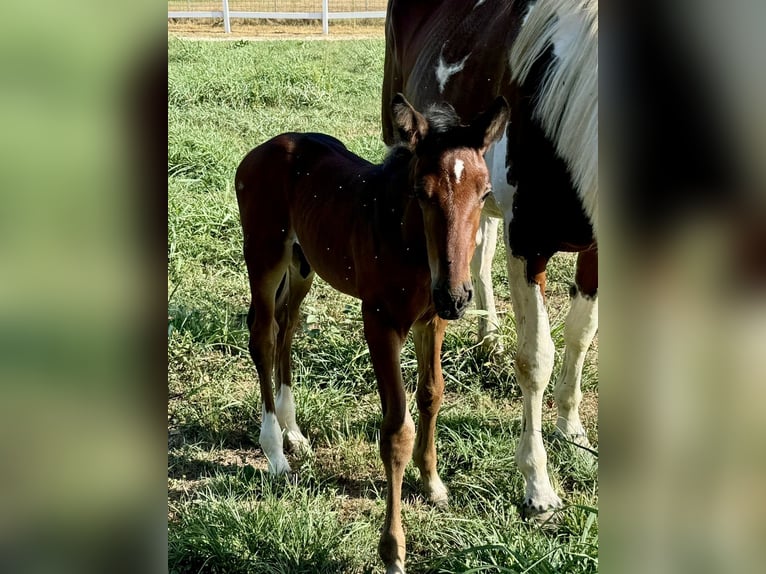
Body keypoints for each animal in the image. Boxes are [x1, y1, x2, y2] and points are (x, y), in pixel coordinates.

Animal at [234, 95, 510, 574]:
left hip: (303, 264)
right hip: (265, 257)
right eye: (421, 192)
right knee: (264, 335)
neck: (410, 247)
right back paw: (274, 451)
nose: (458, 296)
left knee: (288, 327)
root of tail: (262, 150)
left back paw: (294, 433)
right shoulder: (379, 323)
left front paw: (433, 483)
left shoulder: (431, 320)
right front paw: (393, 551)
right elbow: (397, 430)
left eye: (484, 193)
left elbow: (432, 394)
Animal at [384, 0, 600, 520]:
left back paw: (488, 337)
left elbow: (581, 333)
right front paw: (538, 486)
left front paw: (572, 430)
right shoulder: (529, 246)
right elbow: (536, 358)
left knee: (478, 256)